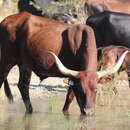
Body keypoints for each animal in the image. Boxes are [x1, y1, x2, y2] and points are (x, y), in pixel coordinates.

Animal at [0, 11, 128, 115]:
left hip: (25, 65)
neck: (80, 43)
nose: (89, 111)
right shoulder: (73, 77)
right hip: (7, 61)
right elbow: (71, 97)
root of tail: (5, 20)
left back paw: (30, 110)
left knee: (23, 86)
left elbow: (68, 101)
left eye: (96, 89)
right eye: (81, 89)